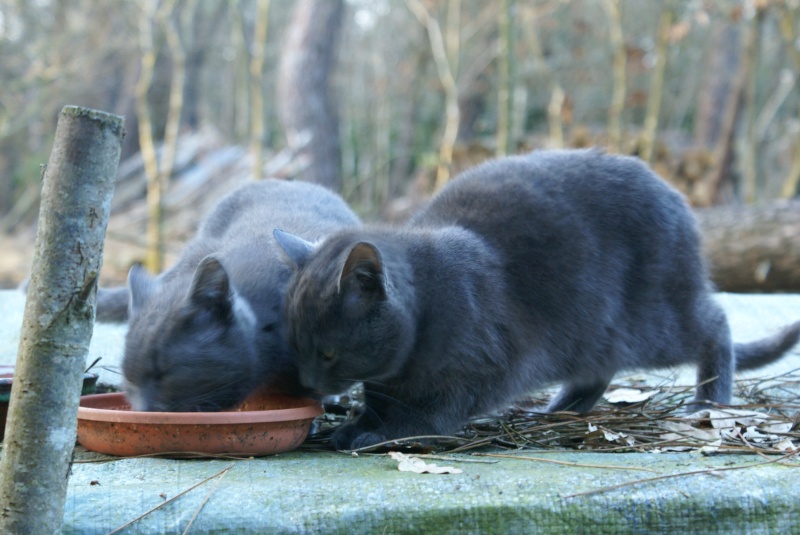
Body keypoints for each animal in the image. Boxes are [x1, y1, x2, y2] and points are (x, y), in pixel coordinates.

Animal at [276, 149, 800, 450]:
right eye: (295, 346)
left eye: (328, 352)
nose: (307, 381)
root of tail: (675, 194)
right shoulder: (387, 384)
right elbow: (380, 402)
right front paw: (351, 427)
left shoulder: (478, 370)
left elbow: (428, 416)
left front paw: (380, 435)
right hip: (593, 333)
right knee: (596, 371)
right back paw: (557, 410)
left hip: (652, 320)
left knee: (716, 323)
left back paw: (710, 401)